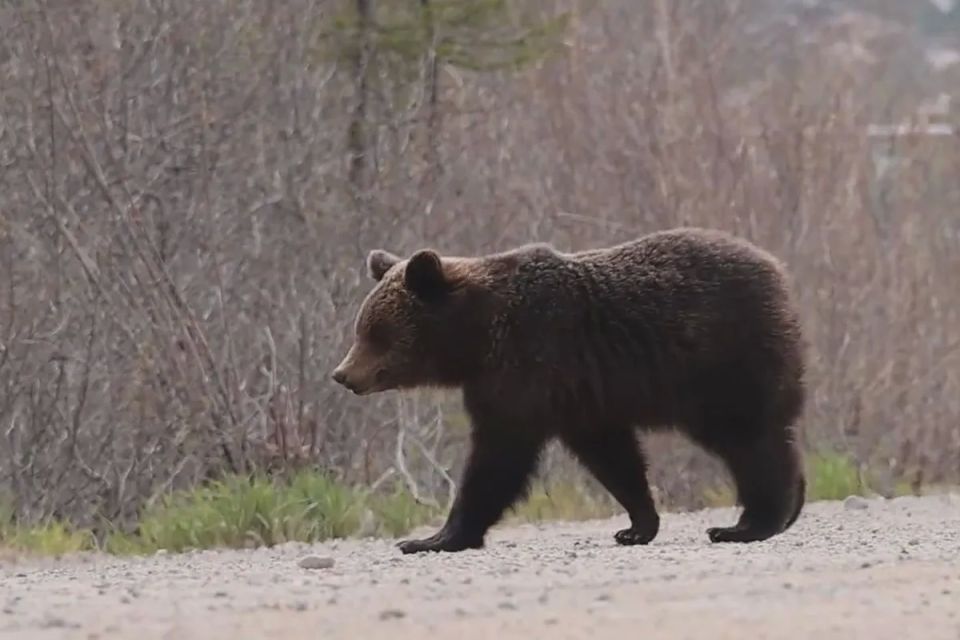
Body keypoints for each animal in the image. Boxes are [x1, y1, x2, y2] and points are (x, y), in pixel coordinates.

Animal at [331, 227, 807, 554]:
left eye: (376, 332)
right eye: (362, 326)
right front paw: (636, 525)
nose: (342, 374)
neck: (477, 337)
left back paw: (746, 524)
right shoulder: (580, 396)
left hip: (722, 363)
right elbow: (612, 456)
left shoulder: (528, 363)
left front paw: (434, 537)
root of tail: (776, 269)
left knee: (747, 438)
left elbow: (498, 456)